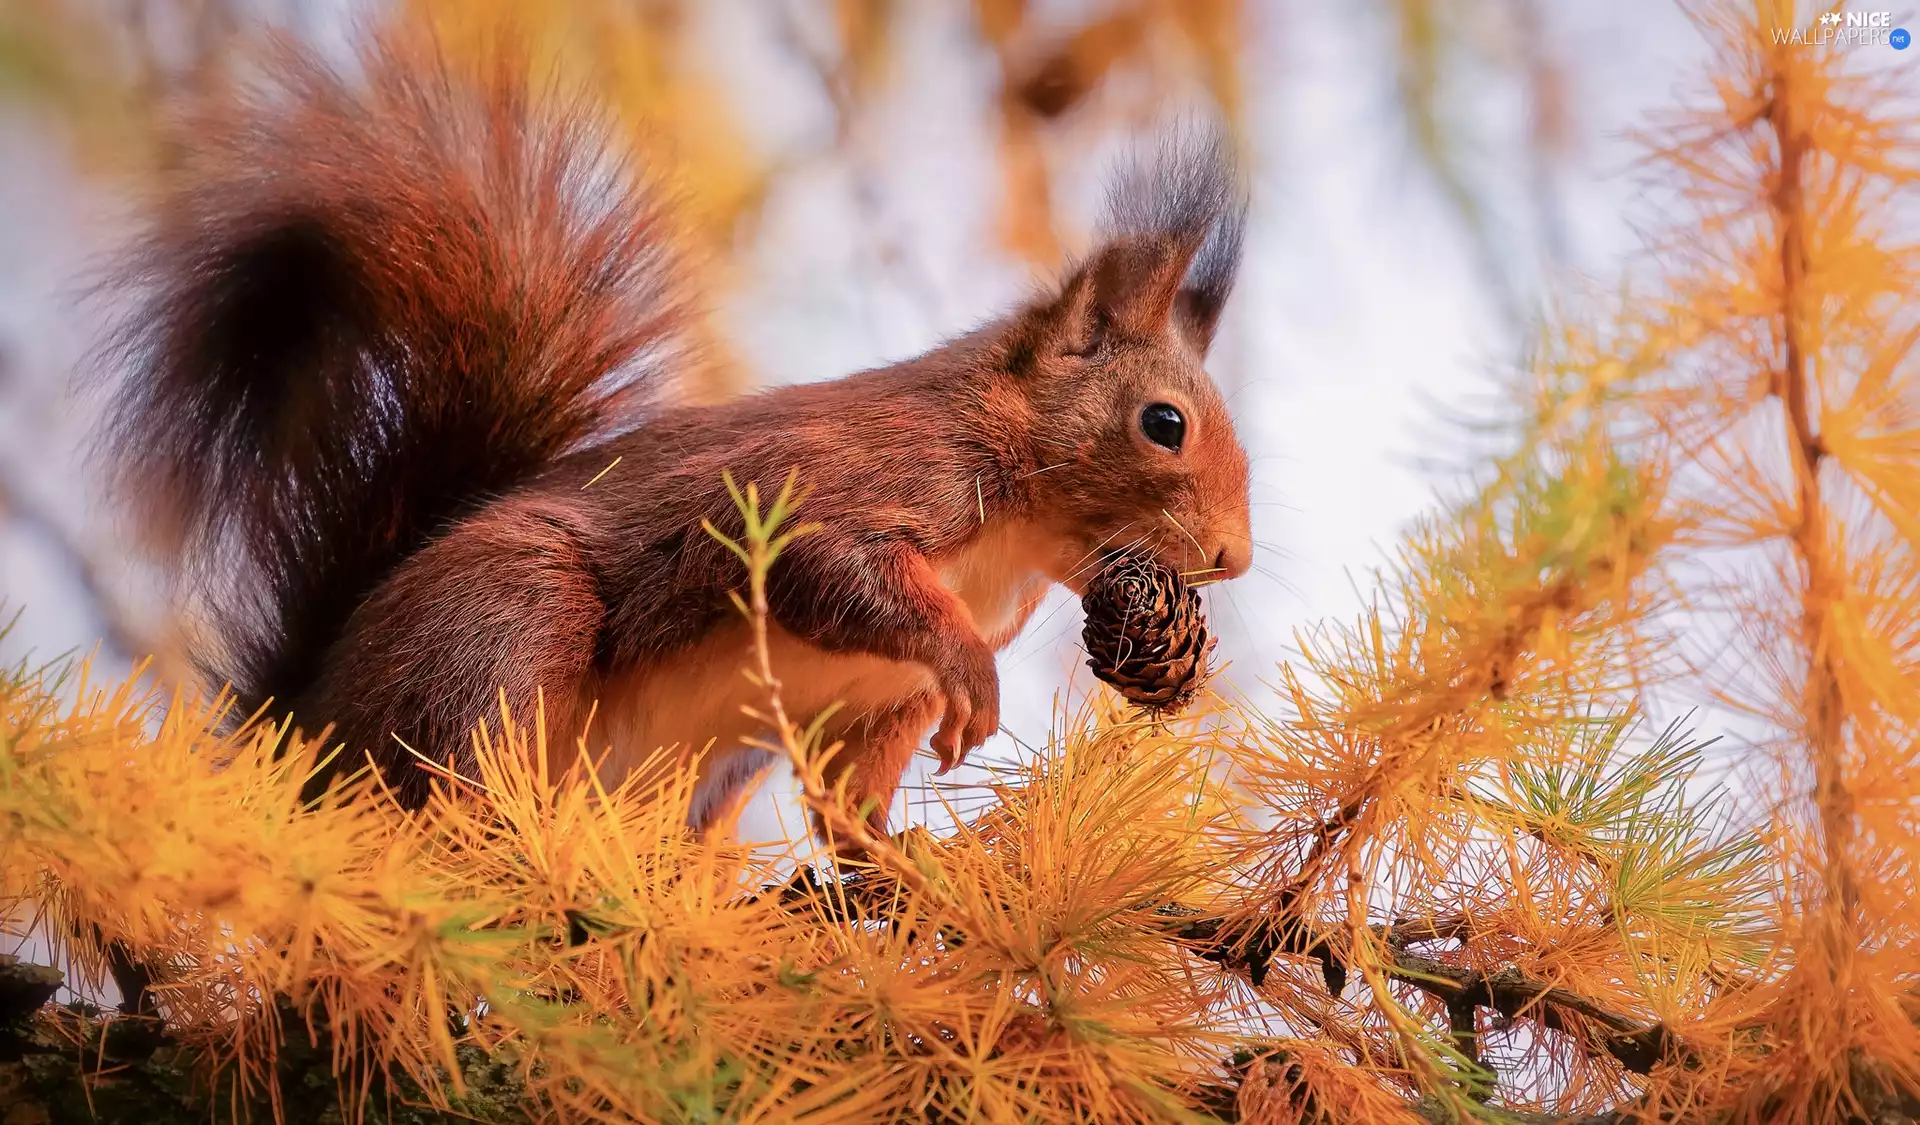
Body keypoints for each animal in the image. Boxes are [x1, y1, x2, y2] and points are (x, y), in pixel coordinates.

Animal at [100, 28, 1254, 837]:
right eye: (1164, 424)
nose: (1233, 560)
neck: (1016, 539)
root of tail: (302, 725)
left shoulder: (876, 705)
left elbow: (847, 801)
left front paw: (899, 865)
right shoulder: (852, 479)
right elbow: (831, 568)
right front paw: (972, 676)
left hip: (691, 780)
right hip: (505, 620)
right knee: (453, 760)